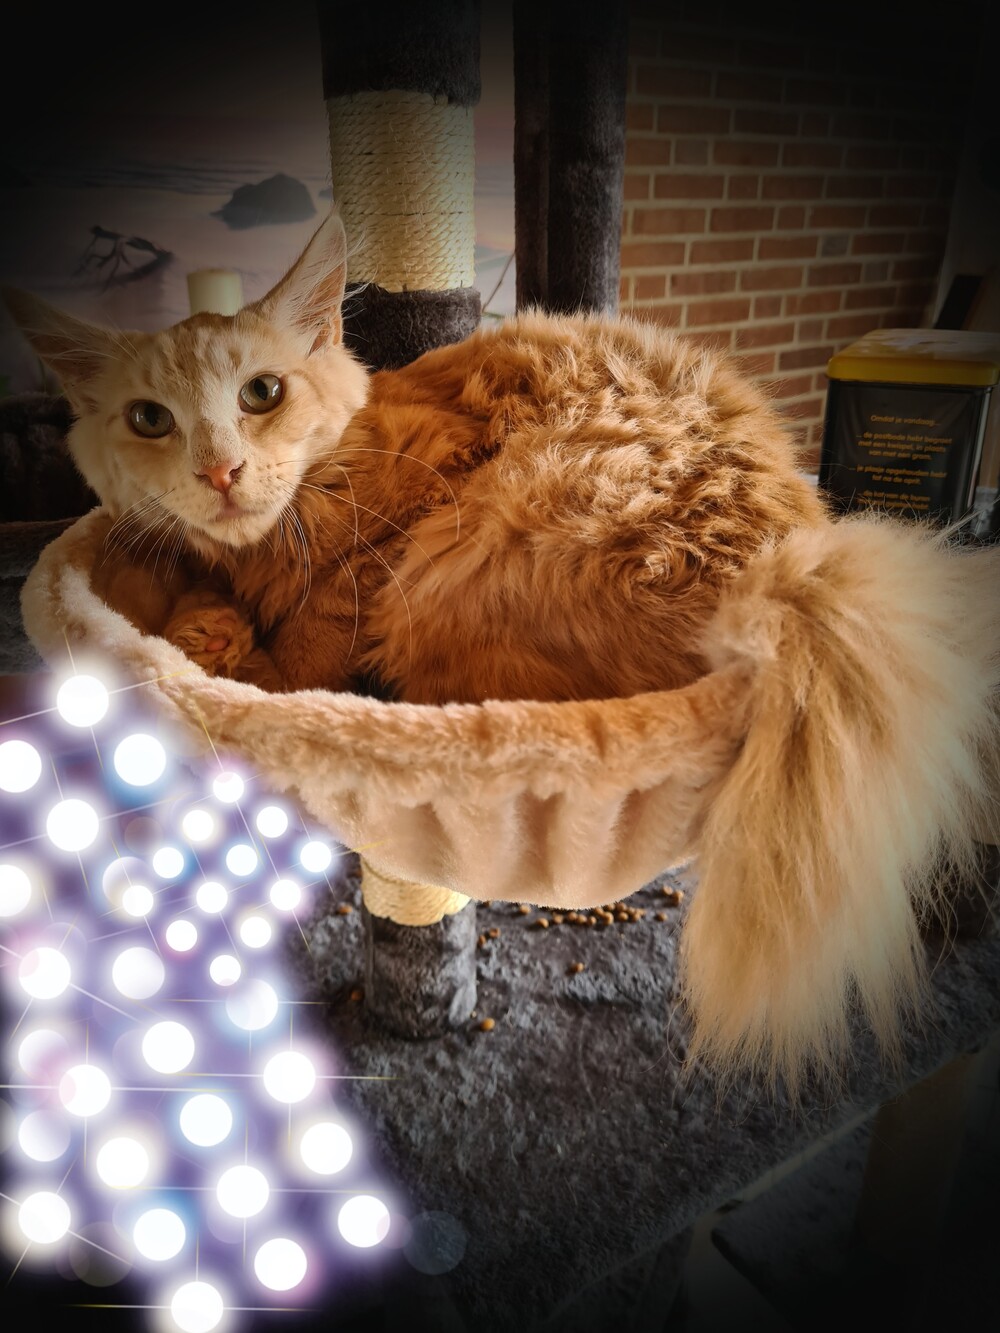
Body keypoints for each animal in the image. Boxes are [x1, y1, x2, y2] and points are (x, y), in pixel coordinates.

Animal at [4, 210, 999, 1091]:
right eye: (149, 419)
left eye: (262, 393)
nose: (218, 471)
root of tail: (777, 571)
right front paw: (201, 615)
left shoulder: (403, 521)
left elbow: (311, 633)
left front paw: (235, 643)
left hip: (467, 551)